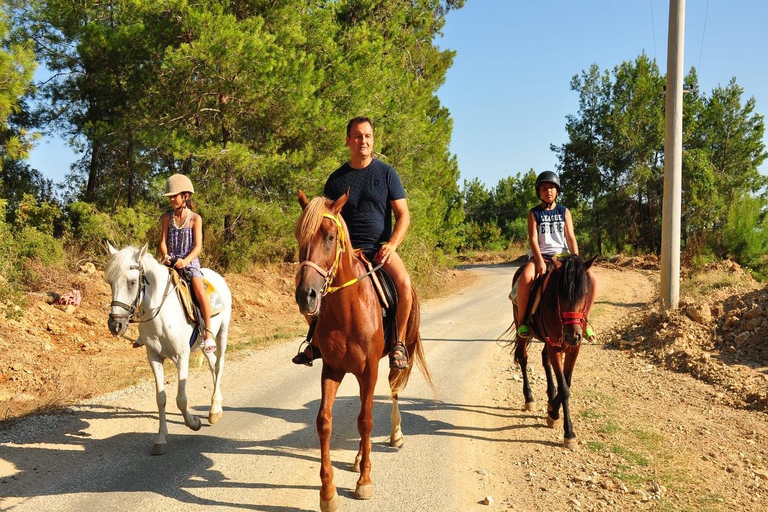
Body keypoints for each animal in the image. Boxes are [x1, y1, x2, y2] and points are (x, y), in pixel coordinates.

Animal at [106, 244, 231, 456]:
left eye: (132, 282)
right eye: (110, 282)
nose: (115, 325)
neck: (160, 314)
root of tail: (218, 277)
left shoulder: (182, 357)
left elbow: (181, 399)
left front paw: (194, 423)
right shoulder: (154, 358)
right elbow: (161, 399)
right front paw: (160, 439)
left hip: (222, 332)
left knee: (220, 365)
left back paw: (214, 411)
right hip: (205, 344)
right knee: (213, 364)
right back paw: (217, 407)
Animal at [292, 190, 428, 510]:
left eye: (330, 236)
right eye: (299, 235)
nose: (306, 295)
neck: (347, 309)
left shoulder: (369, 370)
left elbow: (365, 421)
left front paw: (364, 481)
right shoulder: (332, 369)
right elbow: (324, 422)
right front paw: (327, 492)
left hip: (393, 359)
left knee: (393, 390)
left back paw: (395, 435)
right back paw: (356, 459)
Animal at [512, 255, 596, 448]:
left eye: (585, 294)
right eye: (560, 295)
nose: (572, 335)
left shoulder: (573, 348)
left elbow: (567, 382)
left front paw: (552, 410)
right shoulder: (556, 346)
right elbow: (564, 389)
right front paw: (568, 431)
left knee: (544, 359)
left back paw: (550, 397)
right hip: (521, 326)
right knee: (523, 357)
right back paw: (529, 399)